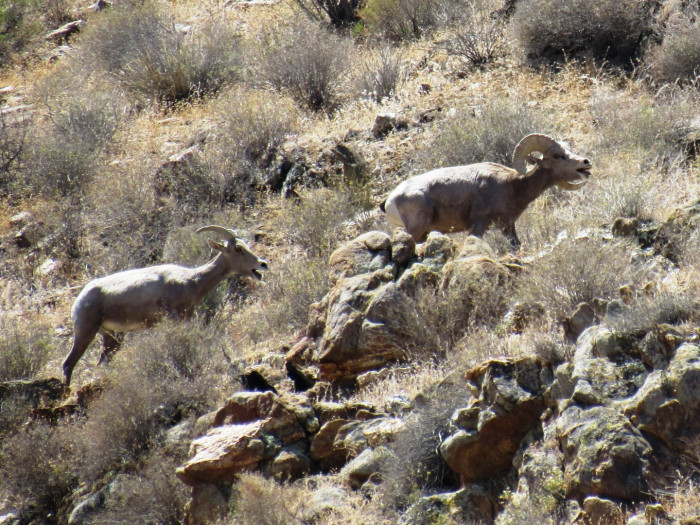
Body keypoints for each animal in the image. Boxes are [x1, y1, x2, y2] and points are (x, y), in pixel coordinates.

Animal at [61, 225, 267, 386]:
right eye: (238, 249)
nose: (262, 264)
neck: (191, 281)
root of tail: (78, 301)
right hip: (86, 333)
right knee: (68, 364)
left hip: (112, 338)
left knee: (101, 364)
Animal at [380, 134, 592, 247]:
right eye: (558, 156)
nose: (585, 163)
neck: (513, 186)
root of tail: (390, 200)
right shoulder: (478, 226)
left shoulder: (508, 227)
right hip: (415, 231)